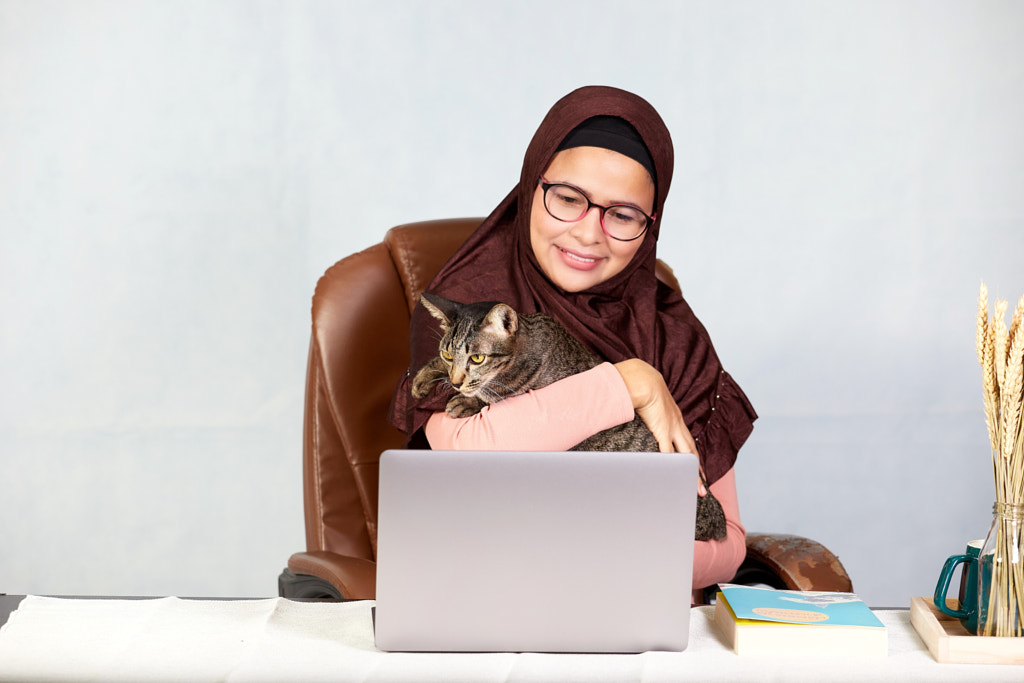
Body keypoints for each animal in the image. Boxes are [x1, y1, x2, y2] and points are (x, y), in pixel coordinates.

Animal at [407, 290, 729, 540]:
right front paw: (424, 378)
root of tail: (718, 518)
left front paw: (465, 400)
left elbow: (490, 394)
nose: (455, 383)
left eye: (477, 358)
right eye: (449, 355)